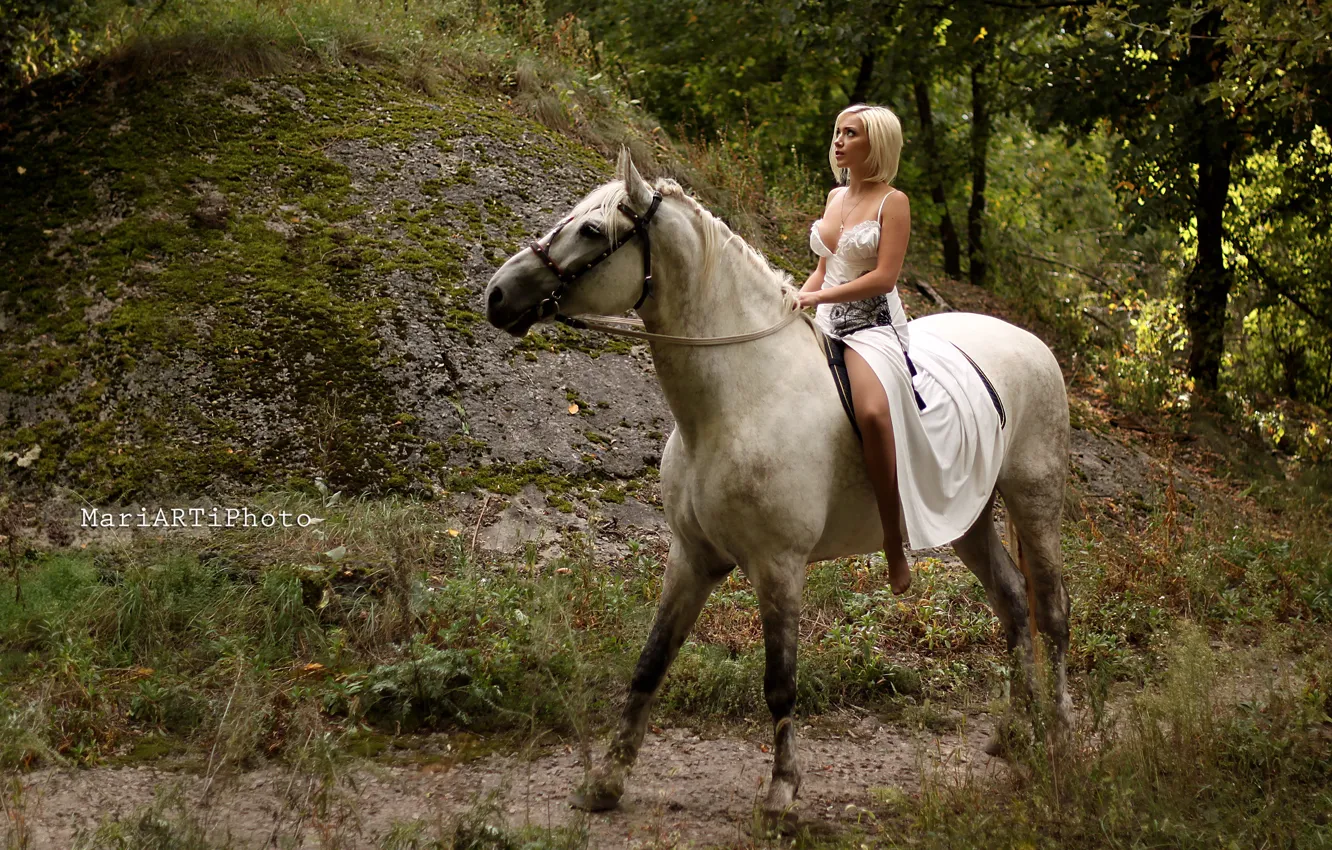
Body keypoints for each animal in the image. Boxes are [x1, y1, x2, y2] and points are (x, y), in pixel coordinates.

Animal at [483, 149, 1071, 819]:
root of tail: (1028, 340)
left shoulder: (779, 565)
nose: (497, 294)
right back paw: (1015, 731)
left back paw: (1059, 734)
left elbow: (780, 684)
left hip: (1035, 504)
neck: (737, 399)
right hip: (966, 521)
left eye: (589, 230)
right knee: (1012, 601)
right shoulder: (691, 557)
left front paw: (782, 792)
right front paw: (607, 780)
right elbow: (651, 662)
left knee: (1052, 612)